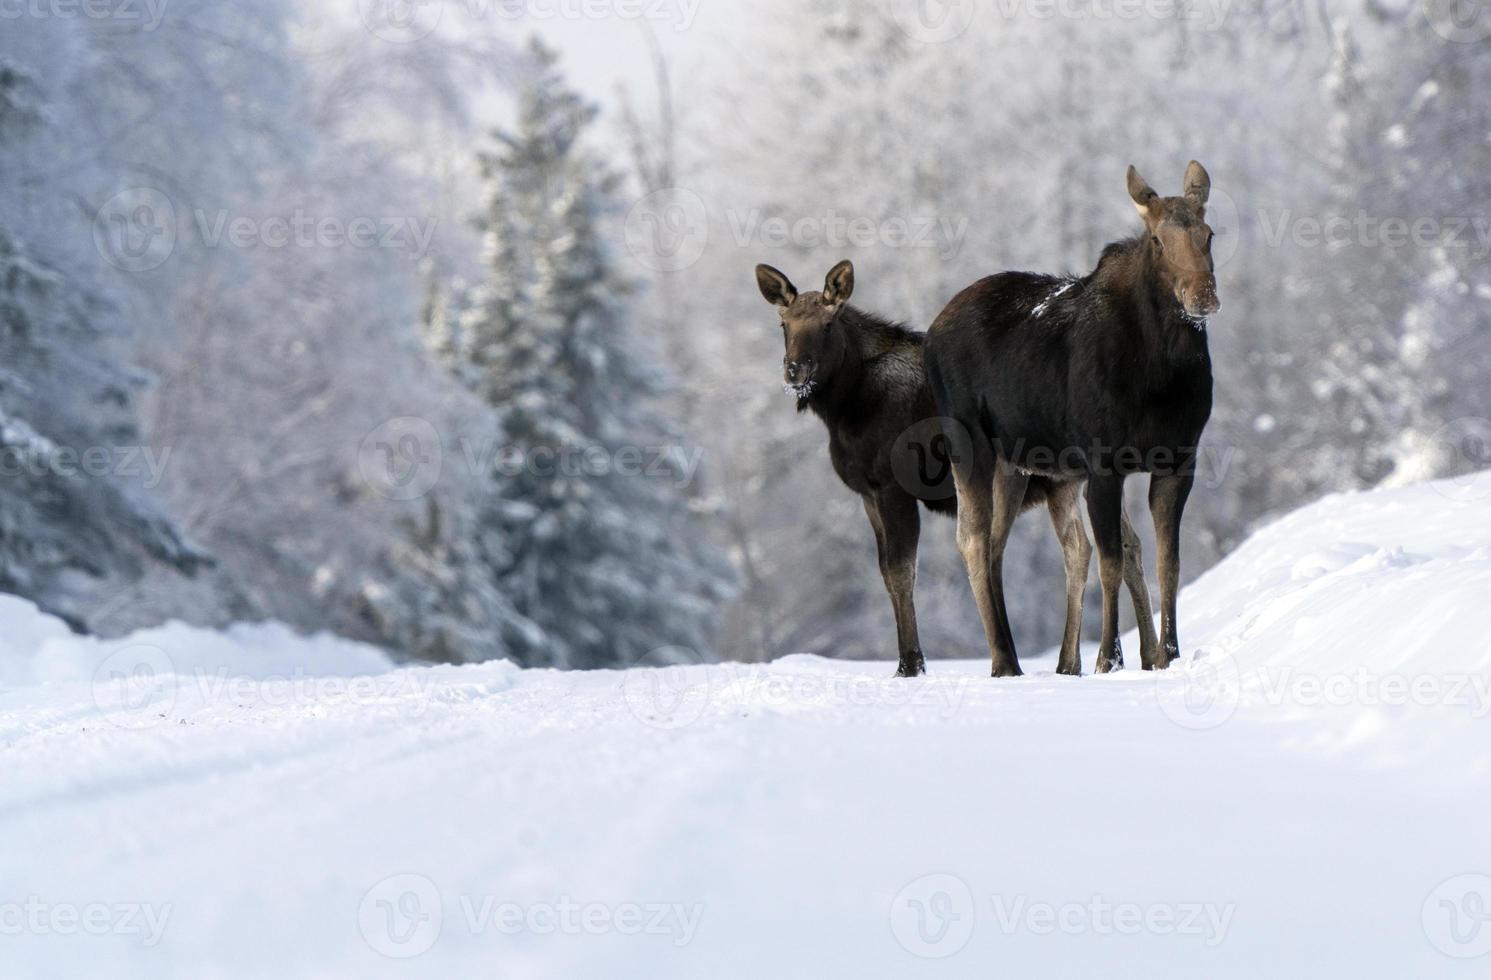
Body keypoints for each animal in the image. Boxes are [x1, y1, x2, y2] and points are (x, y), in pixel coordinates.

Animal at [751, 256, 1157, 677]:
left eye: (828, 323)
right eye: (784, 324)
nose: (795, 370)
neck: (844, 410)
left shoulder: (893, 487)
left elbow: (902, 572)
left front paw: (910, 663)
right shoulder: (867, 494)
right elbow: (886, 573)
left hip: (1061, 479)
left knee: (1081, 547)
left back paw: (1074, 661)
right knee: (1127, 545)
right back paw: (1141, 656)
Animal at [924, 164, 1216, 677]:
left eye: (1210, 233)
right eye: (1157, 240)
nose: (1203, 295)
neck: (1163, 375)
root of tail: (928, 335)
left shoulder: (1179, 460)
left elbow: (1169, 563)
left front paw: (1168, 655)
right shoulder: (1103, 464)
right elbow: (1111, 561)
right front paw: (1108, 659)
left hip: (1020, 466)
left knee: (1002, 543)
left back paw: (1028, 657)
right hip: (971, 446)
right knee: (973, 539)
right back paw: (1005, 660)